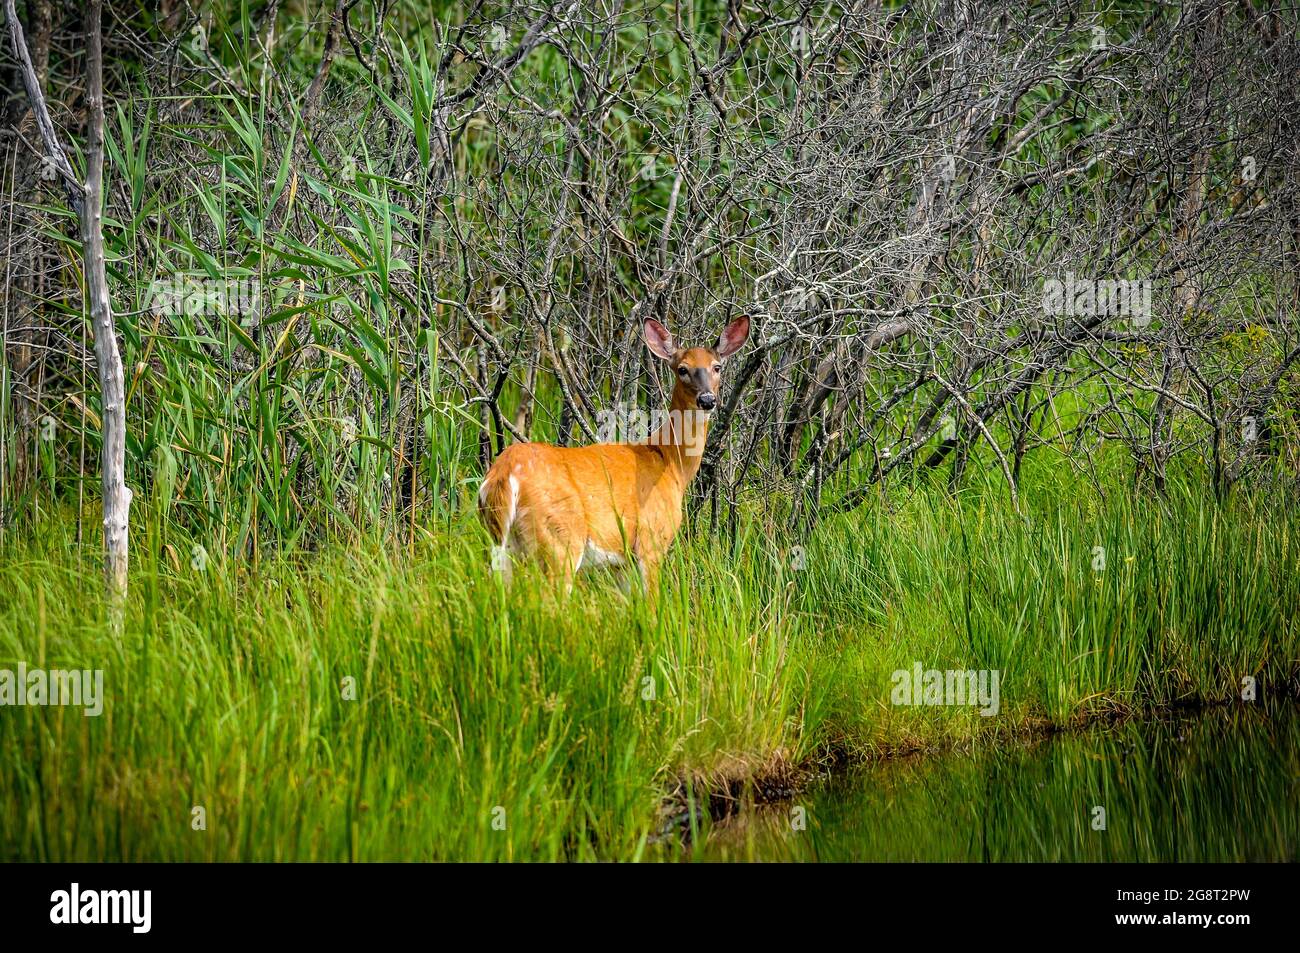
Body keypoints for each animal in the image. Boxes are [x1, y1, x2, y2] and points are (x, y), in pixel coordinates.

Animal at [478, 314, 748, 595]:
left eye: (717, 367)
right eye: (682, 369)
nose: (707, 400)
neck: (670, 462)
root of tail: (504, 475)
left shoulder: (621, 562)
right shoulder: (651, 540)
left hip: (501, 545)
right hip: (560, 539)